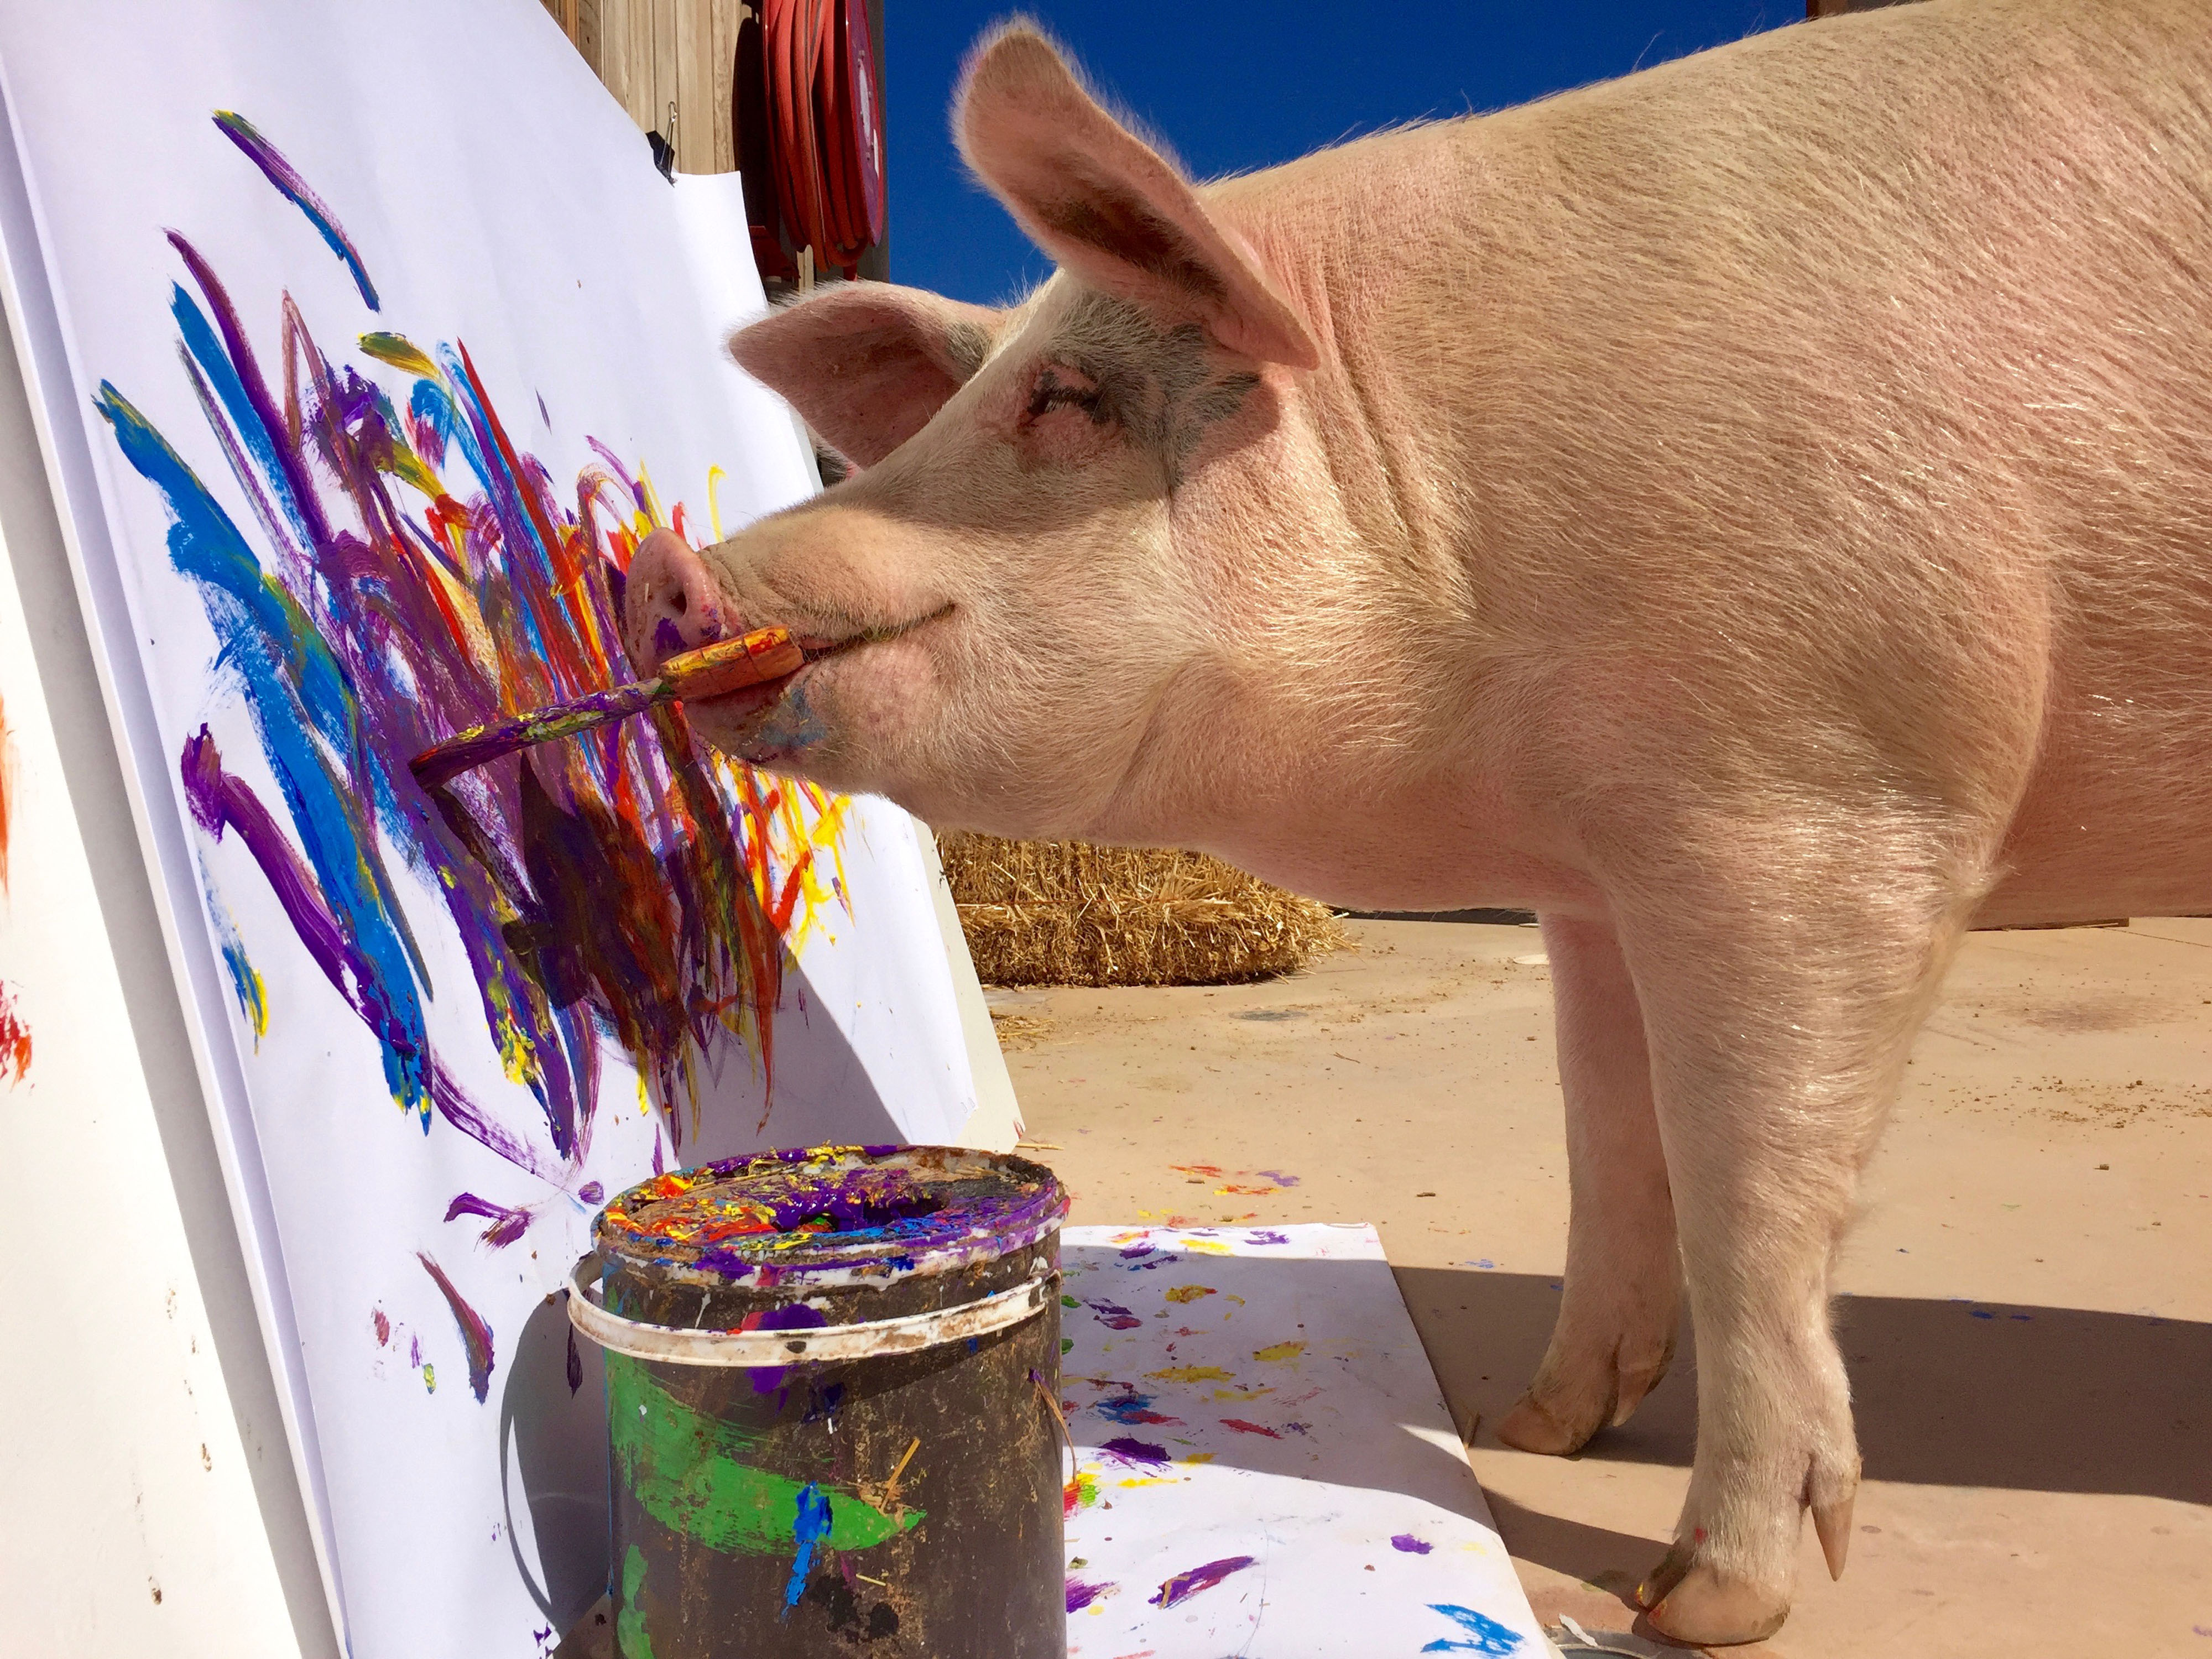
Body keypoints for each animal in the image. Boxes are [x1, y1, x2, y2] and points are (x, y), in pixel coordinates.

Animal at [622, 0, 2212, 1643]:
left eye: (1065, 401)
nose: (663, 568)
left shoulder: (1826, 789)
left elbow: (1746, 1187)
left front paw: (1691, 1604)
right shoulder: (1597, 873)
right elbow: (1607, 1131)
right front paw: (1536, 1425)